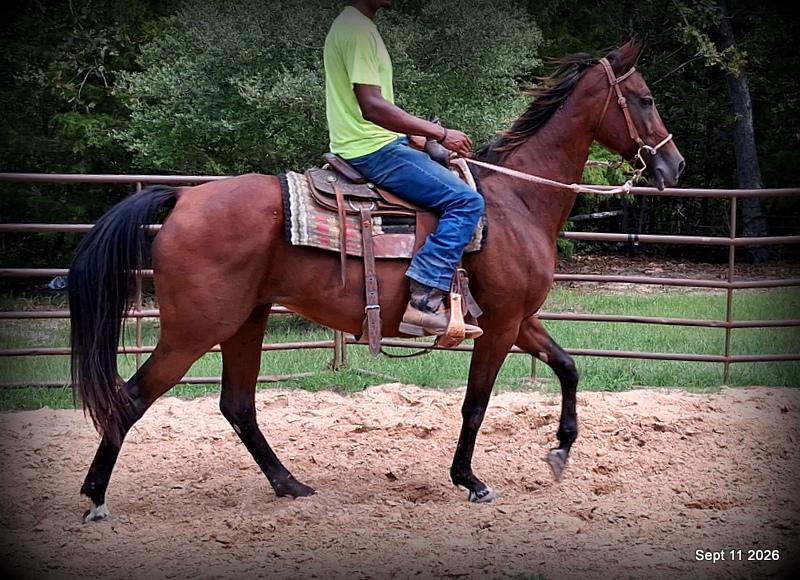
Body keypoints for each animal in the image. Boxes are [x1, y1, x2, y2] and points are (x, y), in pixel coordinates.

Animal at [69, 41, 684, 521]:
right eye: (646, 99)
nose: (674, 165)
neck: (515, 201)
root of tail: (184, 198)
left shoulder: (518, 320)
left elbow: (568, 366)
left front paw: (560, 451)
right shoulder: (503, 325)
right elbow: (476, 404)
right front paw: (470, 480)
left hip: (246, 321)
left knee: (238, 405)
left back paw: (291, 485)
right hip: (195, 329)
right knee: (130, 399)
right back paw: (96, 498)